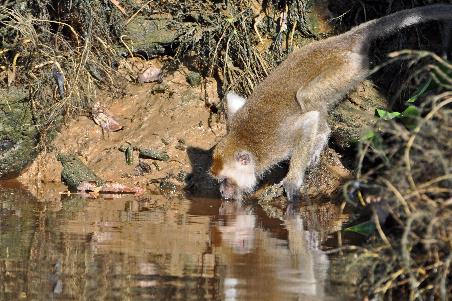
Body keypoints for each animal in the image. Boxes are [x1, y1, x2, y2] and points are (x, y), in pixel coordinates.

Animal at [211, 4, 452, 202]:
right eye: (219, 181)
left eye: (225, 180)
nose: (222, 192)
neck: (248, 143)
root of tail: (339, 42)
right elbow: (231, 97)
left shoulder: (277, 145)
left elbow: (307, 122)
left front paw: (292, 180)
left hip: (348, 68)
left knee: (307, 96)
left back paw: (321, 136)